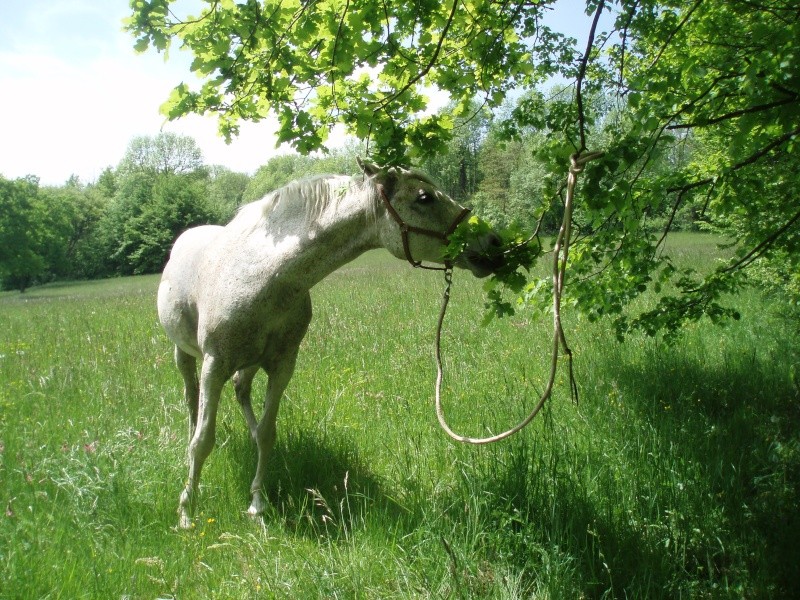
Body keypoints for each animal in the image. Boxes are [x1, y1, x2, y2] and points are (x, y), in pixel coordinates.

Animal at [158, 157, 500, 528]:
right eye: (424, 197)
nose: (494, 242)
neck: (262, 277)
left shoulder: (282, 365)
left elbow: (266, 433)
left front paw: (258, 503)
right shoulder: (215, 364)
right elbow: (203, 441)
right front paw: (187, 511)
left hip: (248, 363)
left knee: (241, 391)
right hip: (185, 355)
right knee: (192, 401)